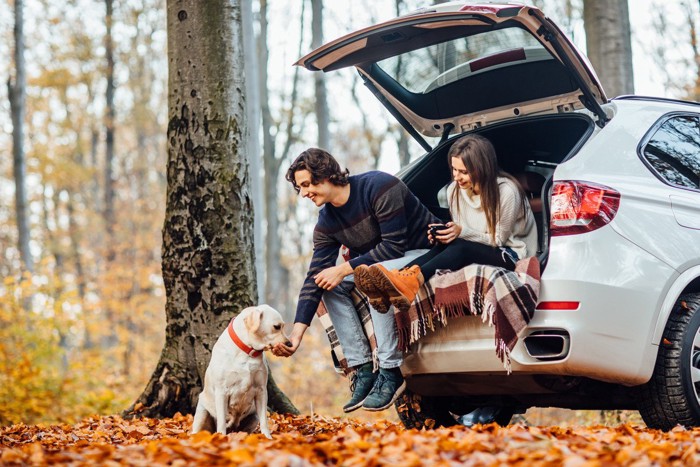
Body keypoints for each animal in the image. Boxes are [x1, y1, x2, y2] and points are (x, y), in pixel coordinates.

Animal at [191, 306, 290, 440]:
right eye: (277, 326)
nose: (290, 344)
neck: (247, 350)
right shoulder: (222, 391)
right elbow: (221, 421)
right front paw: (221, 437)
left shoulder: (261, 390)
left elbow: (264, 421)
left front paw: (267, 438)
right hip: (202, 412)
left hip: (253, 416)